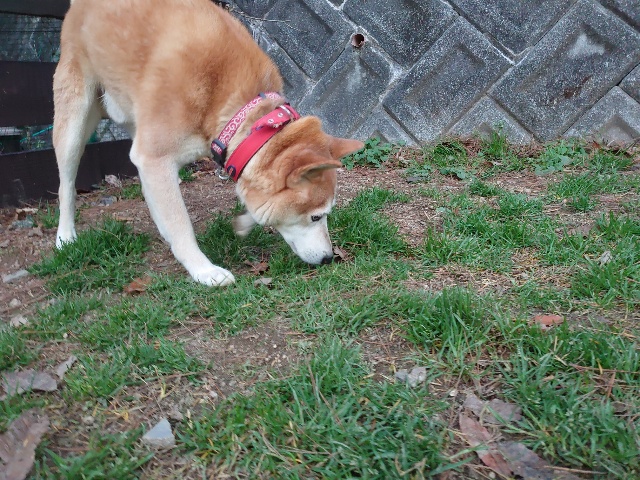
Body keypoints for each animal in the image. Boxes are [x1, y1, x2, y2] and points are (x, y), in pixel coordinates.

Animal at [53, 0, 363, 286]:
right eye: (316, 217)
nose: (329, 258)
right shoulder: (155, 156)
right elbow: (181, 224)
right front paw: (203, 270)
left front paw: (244, 222)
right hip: (75, 121)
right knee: (66, 184)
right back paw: (65, 236)